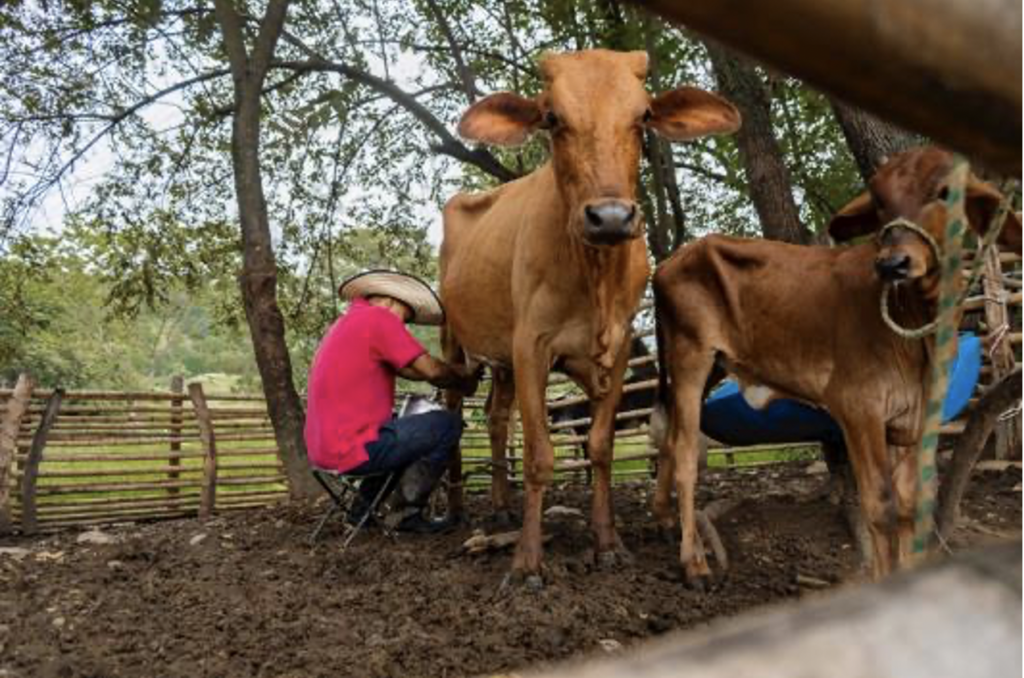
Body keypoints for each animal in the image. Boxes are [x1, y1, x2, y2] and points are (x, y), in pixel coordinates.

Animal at [439, 49, 741, 586]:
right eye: (553, 118)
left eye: (643, 116)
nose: (612, 217)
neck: (594, 277)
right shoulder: (531, 346)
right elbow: (539, 456)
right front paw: (527, 562)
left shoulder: (616, 351)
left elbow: (600, 446)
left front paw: (608, 543)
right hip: (455, 340)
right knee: (454, 416)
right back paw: (455, 508)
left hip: (500, 361)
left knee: (495, 418)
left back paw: (500, 505)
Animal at [650, 146, 1021, 585]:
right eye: (879, 200)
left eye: (945, 192)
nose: (893, 264)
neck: (918, 329)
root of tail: (669, 261)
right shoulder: (857, 407)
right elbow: (880, 506)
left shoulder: (911, 421)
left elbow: (908, 507)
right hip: (690, 356)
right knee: (686, 454)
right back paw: (695, 563)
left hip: (713, 366)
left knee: (669, 442)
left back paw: (665, 521)